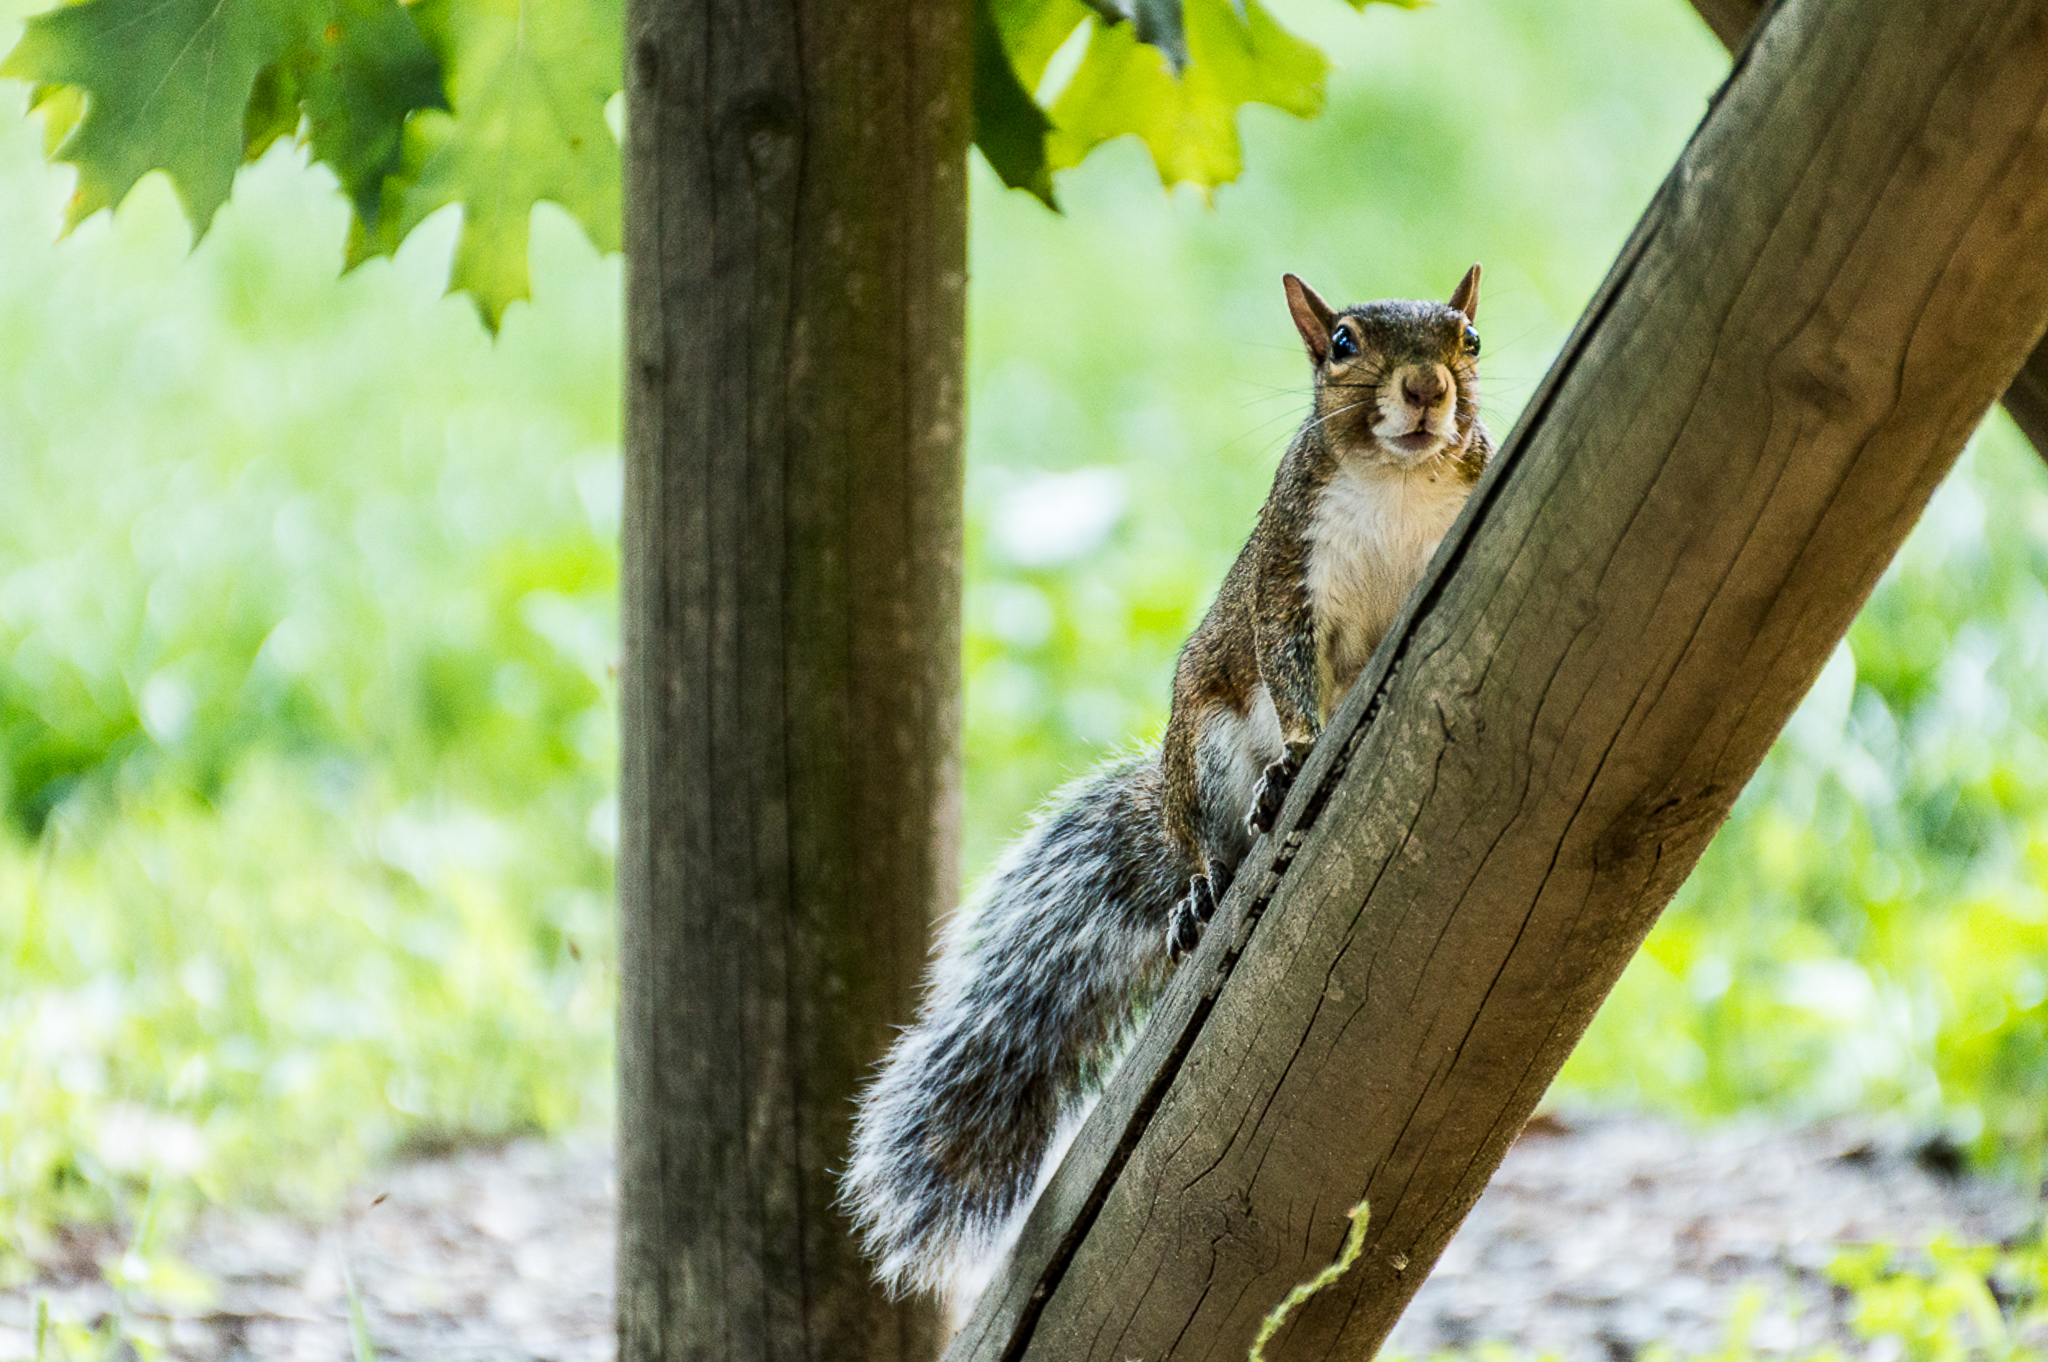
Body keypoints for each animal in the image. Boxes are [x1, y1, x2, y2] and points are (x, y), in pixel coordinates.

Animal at [843, 267, 1493, 1301]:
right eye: (1343, 344)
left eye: (1468, 338)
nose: (1428, 388)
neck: (1395, 483)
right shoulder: (1286, 571)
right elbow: (1287, 664)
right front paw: (1302, 750)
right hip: (1206, 753)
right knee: (1205, 844)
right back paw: (1208, 879)